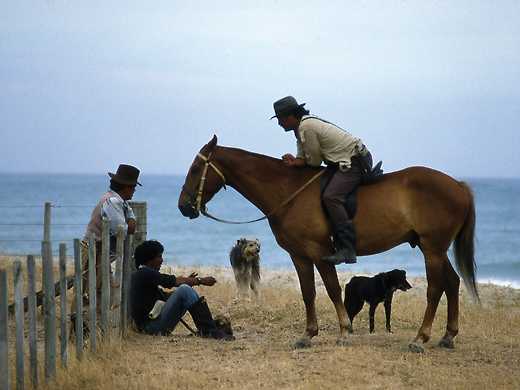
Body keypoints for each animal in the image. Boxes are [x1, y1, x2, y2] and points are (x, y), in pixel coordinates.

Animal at [179, 136, 480, 352]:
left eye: (195, 168)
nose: (183, 206)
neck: (289, 191)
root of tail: (458, 185)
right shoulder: (299, 256)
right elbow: (308, 293)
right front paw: (308, 335)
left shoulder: (319, 253)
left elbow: (334, 290)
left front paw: (345, 332)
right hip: (435, 249)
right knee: (452, 283)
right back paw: (448, 336)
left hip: (432, 249)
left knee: (435, 289)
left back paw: (420, 338)